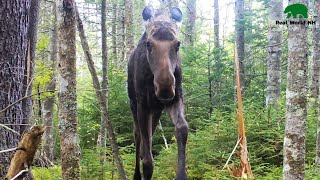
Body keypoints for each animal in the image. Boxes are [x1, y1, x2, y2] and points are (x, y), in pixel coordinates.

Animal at [127, 5, 189, 180]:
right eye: (148, 44)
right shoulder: (142, 105)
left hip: (156, 111)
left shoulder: (176, 98)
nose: (165, 88)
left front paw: (181, 175)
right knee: (137, 135)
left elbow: (182, 127)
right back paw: (136, 174)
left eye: (178, 44)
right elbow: (148, 161)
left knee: (148, 136)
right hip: (134, 104)